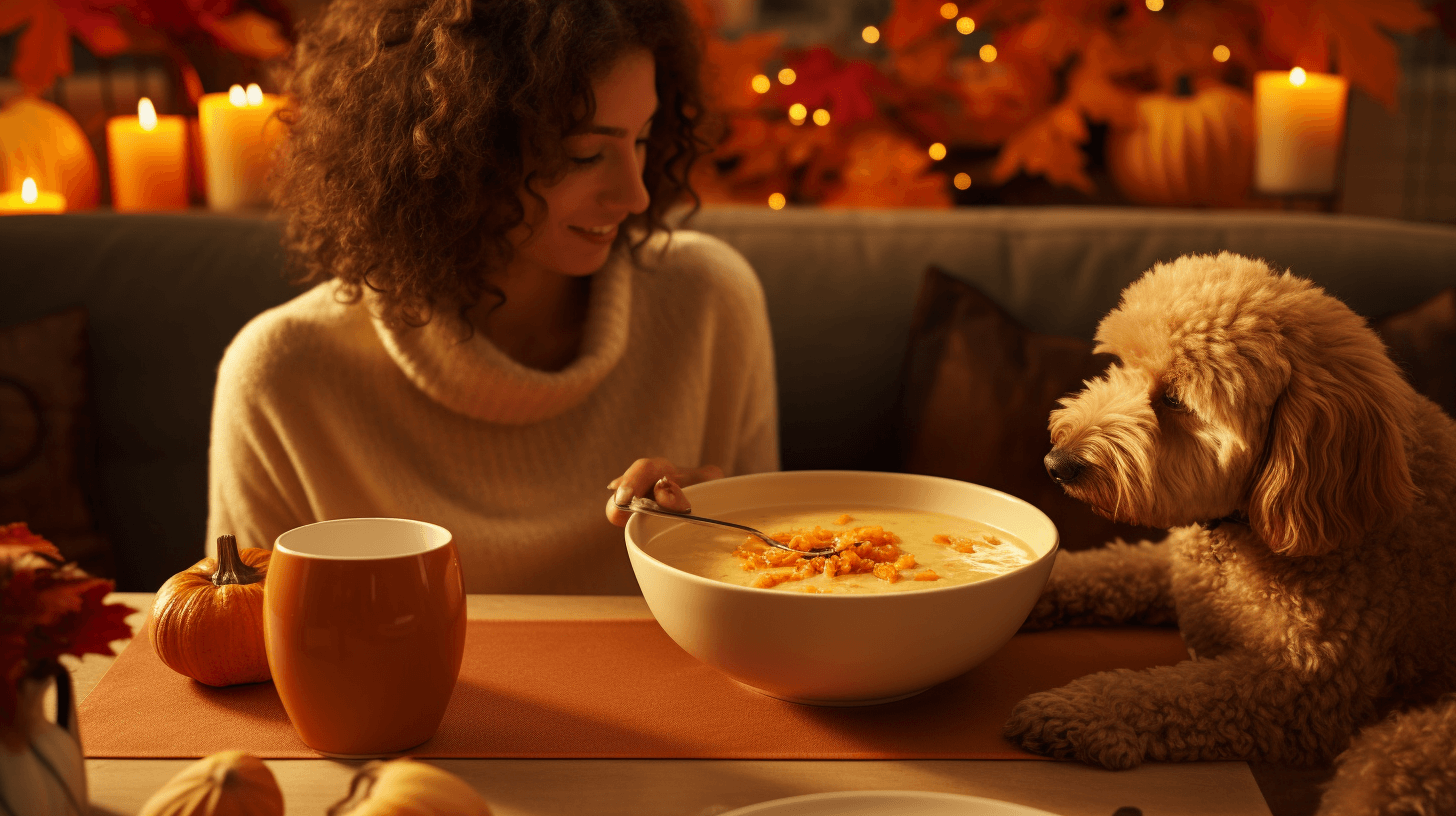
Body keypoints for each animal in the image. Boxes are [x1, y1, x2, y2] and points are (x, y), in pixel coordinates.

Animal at [1007, 252, 1456, 810]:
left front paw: (1077, 709)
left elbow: (1169, 693)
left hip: (1401, 752)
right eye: (1123, 365)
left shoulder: (1305, 689)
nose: (1057, 464)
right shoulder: (1175, 571)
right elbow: (1103, 568)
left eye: (1175, 399)